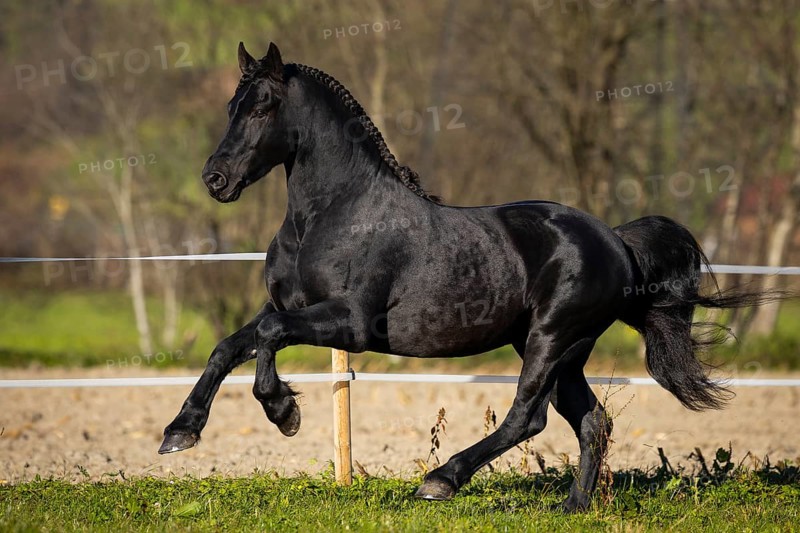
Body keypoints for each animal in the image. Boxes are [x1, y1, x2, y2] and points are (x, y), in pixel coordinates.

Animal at [159, 42, 765, 511]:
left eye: (264, 106)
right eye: (232, 105)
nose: (215, 179)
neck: (332, 214)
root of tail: (616, 241)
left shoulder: (350, 323)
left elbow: (266, 338)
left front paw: (283, 411)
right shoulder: (286, 307)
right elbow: (230, 344)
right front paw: (180, 431)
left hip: (552, 338)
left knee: (528, 418)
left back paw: (441, 480)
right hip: (560, 350)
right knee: (592, 420)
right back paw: (573, 507)